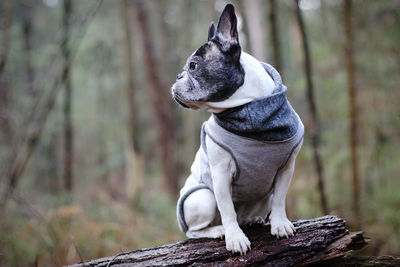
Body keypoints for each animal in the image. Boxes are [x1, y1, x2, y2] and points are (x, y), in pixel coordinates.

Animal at [169, 3, 304, 255]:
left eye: (193, 66)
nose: (178, 75)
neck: (247, 108)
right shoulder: (220, 174)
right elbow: (227, 209)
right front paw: (235, 238)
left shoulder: (286, 168)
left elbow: (280, 198)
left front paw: (280, 223)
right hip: (203, 197)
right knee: (194, 231)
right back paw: (217, 230)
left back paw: (253, 219)